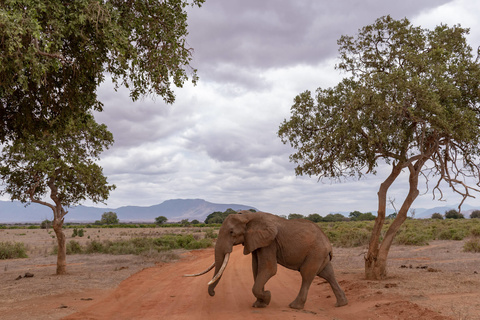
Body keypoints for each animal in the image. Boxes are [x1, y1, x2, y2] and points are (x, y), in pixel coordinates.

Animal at [185, 210, 348, 310]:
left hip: (315, 252)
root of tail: (328, 244)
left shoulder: (270, 242)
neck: (249, 216)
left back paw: (294, 306)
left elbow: (268, 269)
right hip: (321, 255)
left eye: (231, 232)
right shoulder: (254, 241)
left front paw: (267, 297)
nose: (212, 294)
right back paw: (341, 304)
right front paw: (260, 304)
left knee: (307, 274)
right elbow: (256, 268)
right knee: (327, 274)